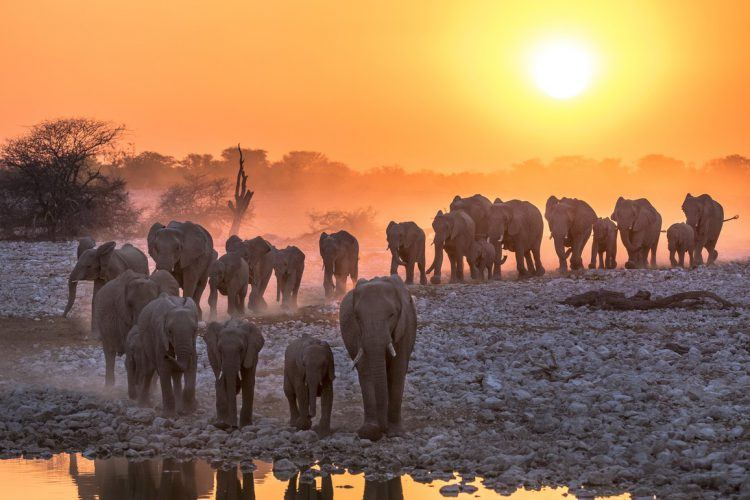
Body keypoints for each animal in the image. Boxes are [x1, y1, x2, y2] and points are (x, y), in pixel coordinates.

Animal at [340, 274, 418, 442]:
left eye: (391, 315)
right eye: (357, 317)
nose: (382, 430)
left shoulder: (404, 328)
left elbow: (397, 371)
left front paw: (395, 433)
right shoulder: (358, 333)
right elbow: (366, 371)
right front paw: (369, 432)